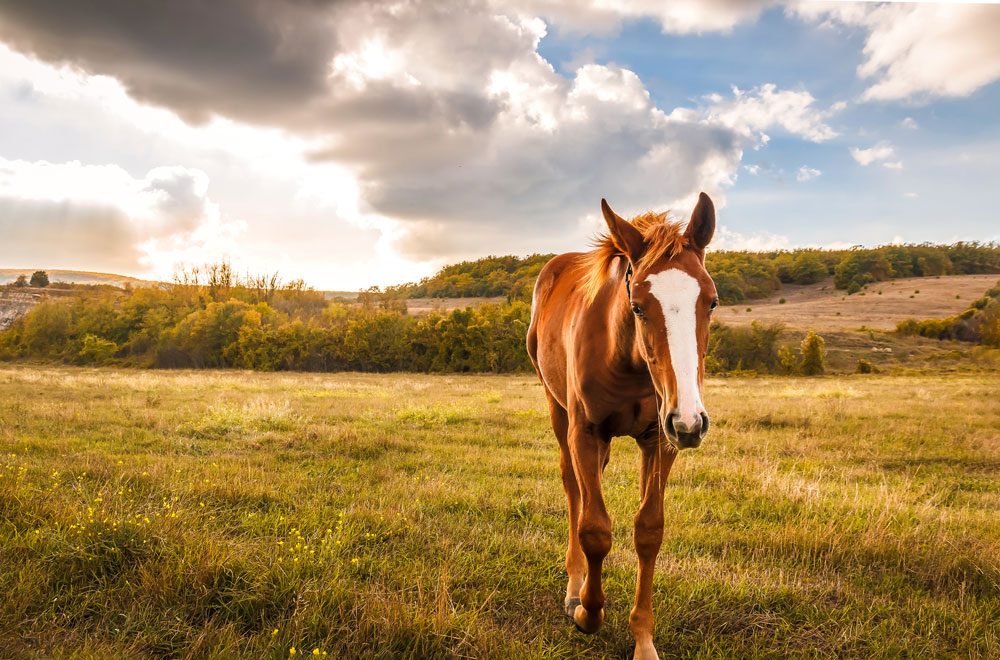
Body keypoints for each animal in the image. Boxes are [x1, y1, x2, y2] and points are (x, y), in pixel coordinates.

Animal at [528, 193, 716, 656]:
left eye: (712, 301)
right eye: (638, 307)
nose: (692, 422)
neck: (627, 358)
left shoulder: (661, 439)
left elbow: (649, 531)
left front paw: (643, 639)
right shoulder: (585, 432)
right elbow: (594, 529)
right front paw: (587, 612)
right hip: (558, 413)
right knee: (574, 490)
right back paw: (575, 587)